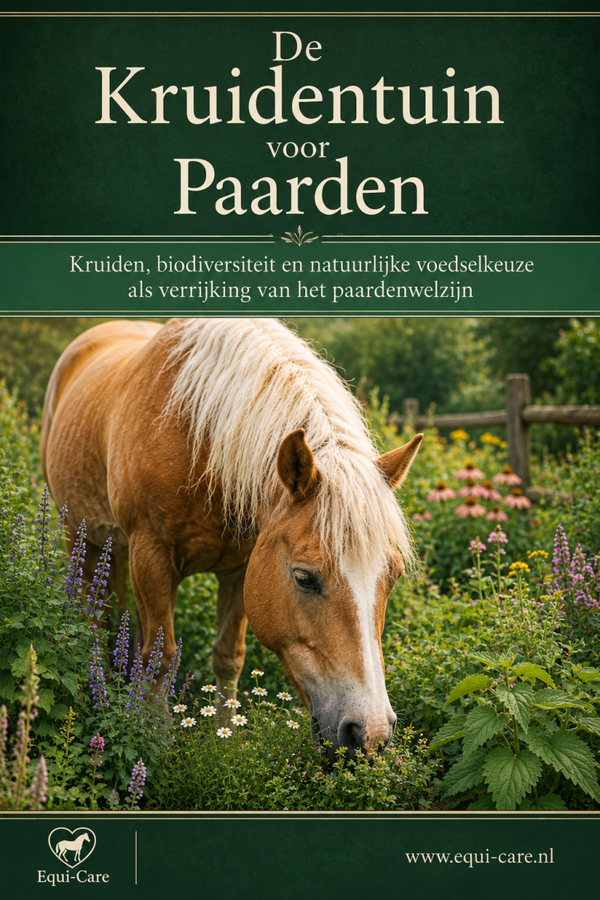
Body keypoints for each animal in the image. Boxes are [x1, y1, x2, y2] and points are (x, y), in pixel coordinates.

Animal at [41, 318, 423, 760]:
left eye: (392, 577)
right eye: (304, 577)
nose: (370, 733)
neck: (198, 441)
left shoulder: (242, 569)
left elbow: (228, 656)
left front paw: (226, 737)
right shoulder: (151, 556)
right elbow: (161, 657)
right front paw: (158, 740)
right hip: (80, 541)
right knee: (93, 623)